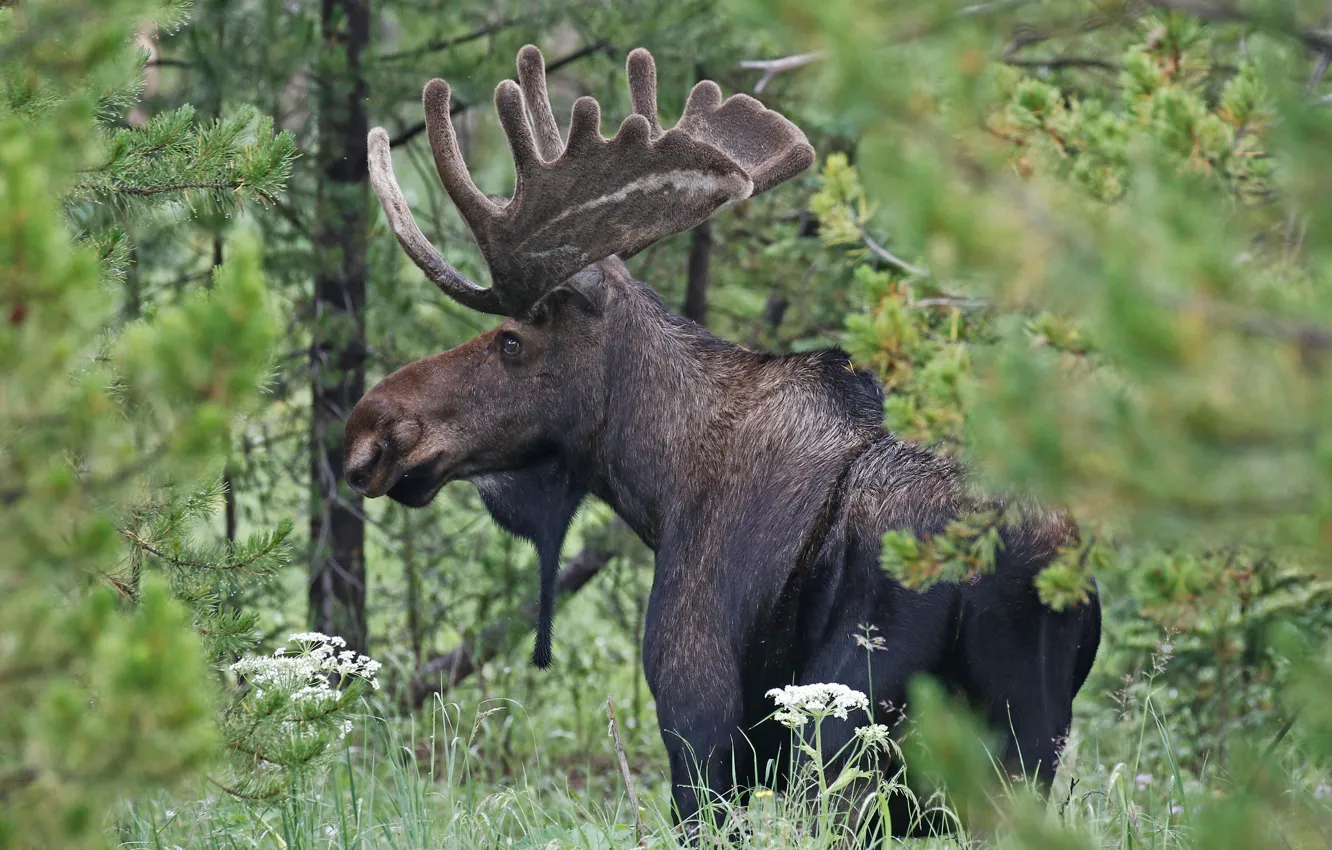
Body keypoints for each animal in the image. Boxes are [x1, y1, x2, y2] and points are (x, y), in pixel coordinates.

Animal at [344, 45, 1101, 838]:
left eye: (512, 340)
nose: (371, 431)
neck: (659, 486)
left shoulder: (698, 711)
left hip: (843, 726)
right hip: (1024, 743)